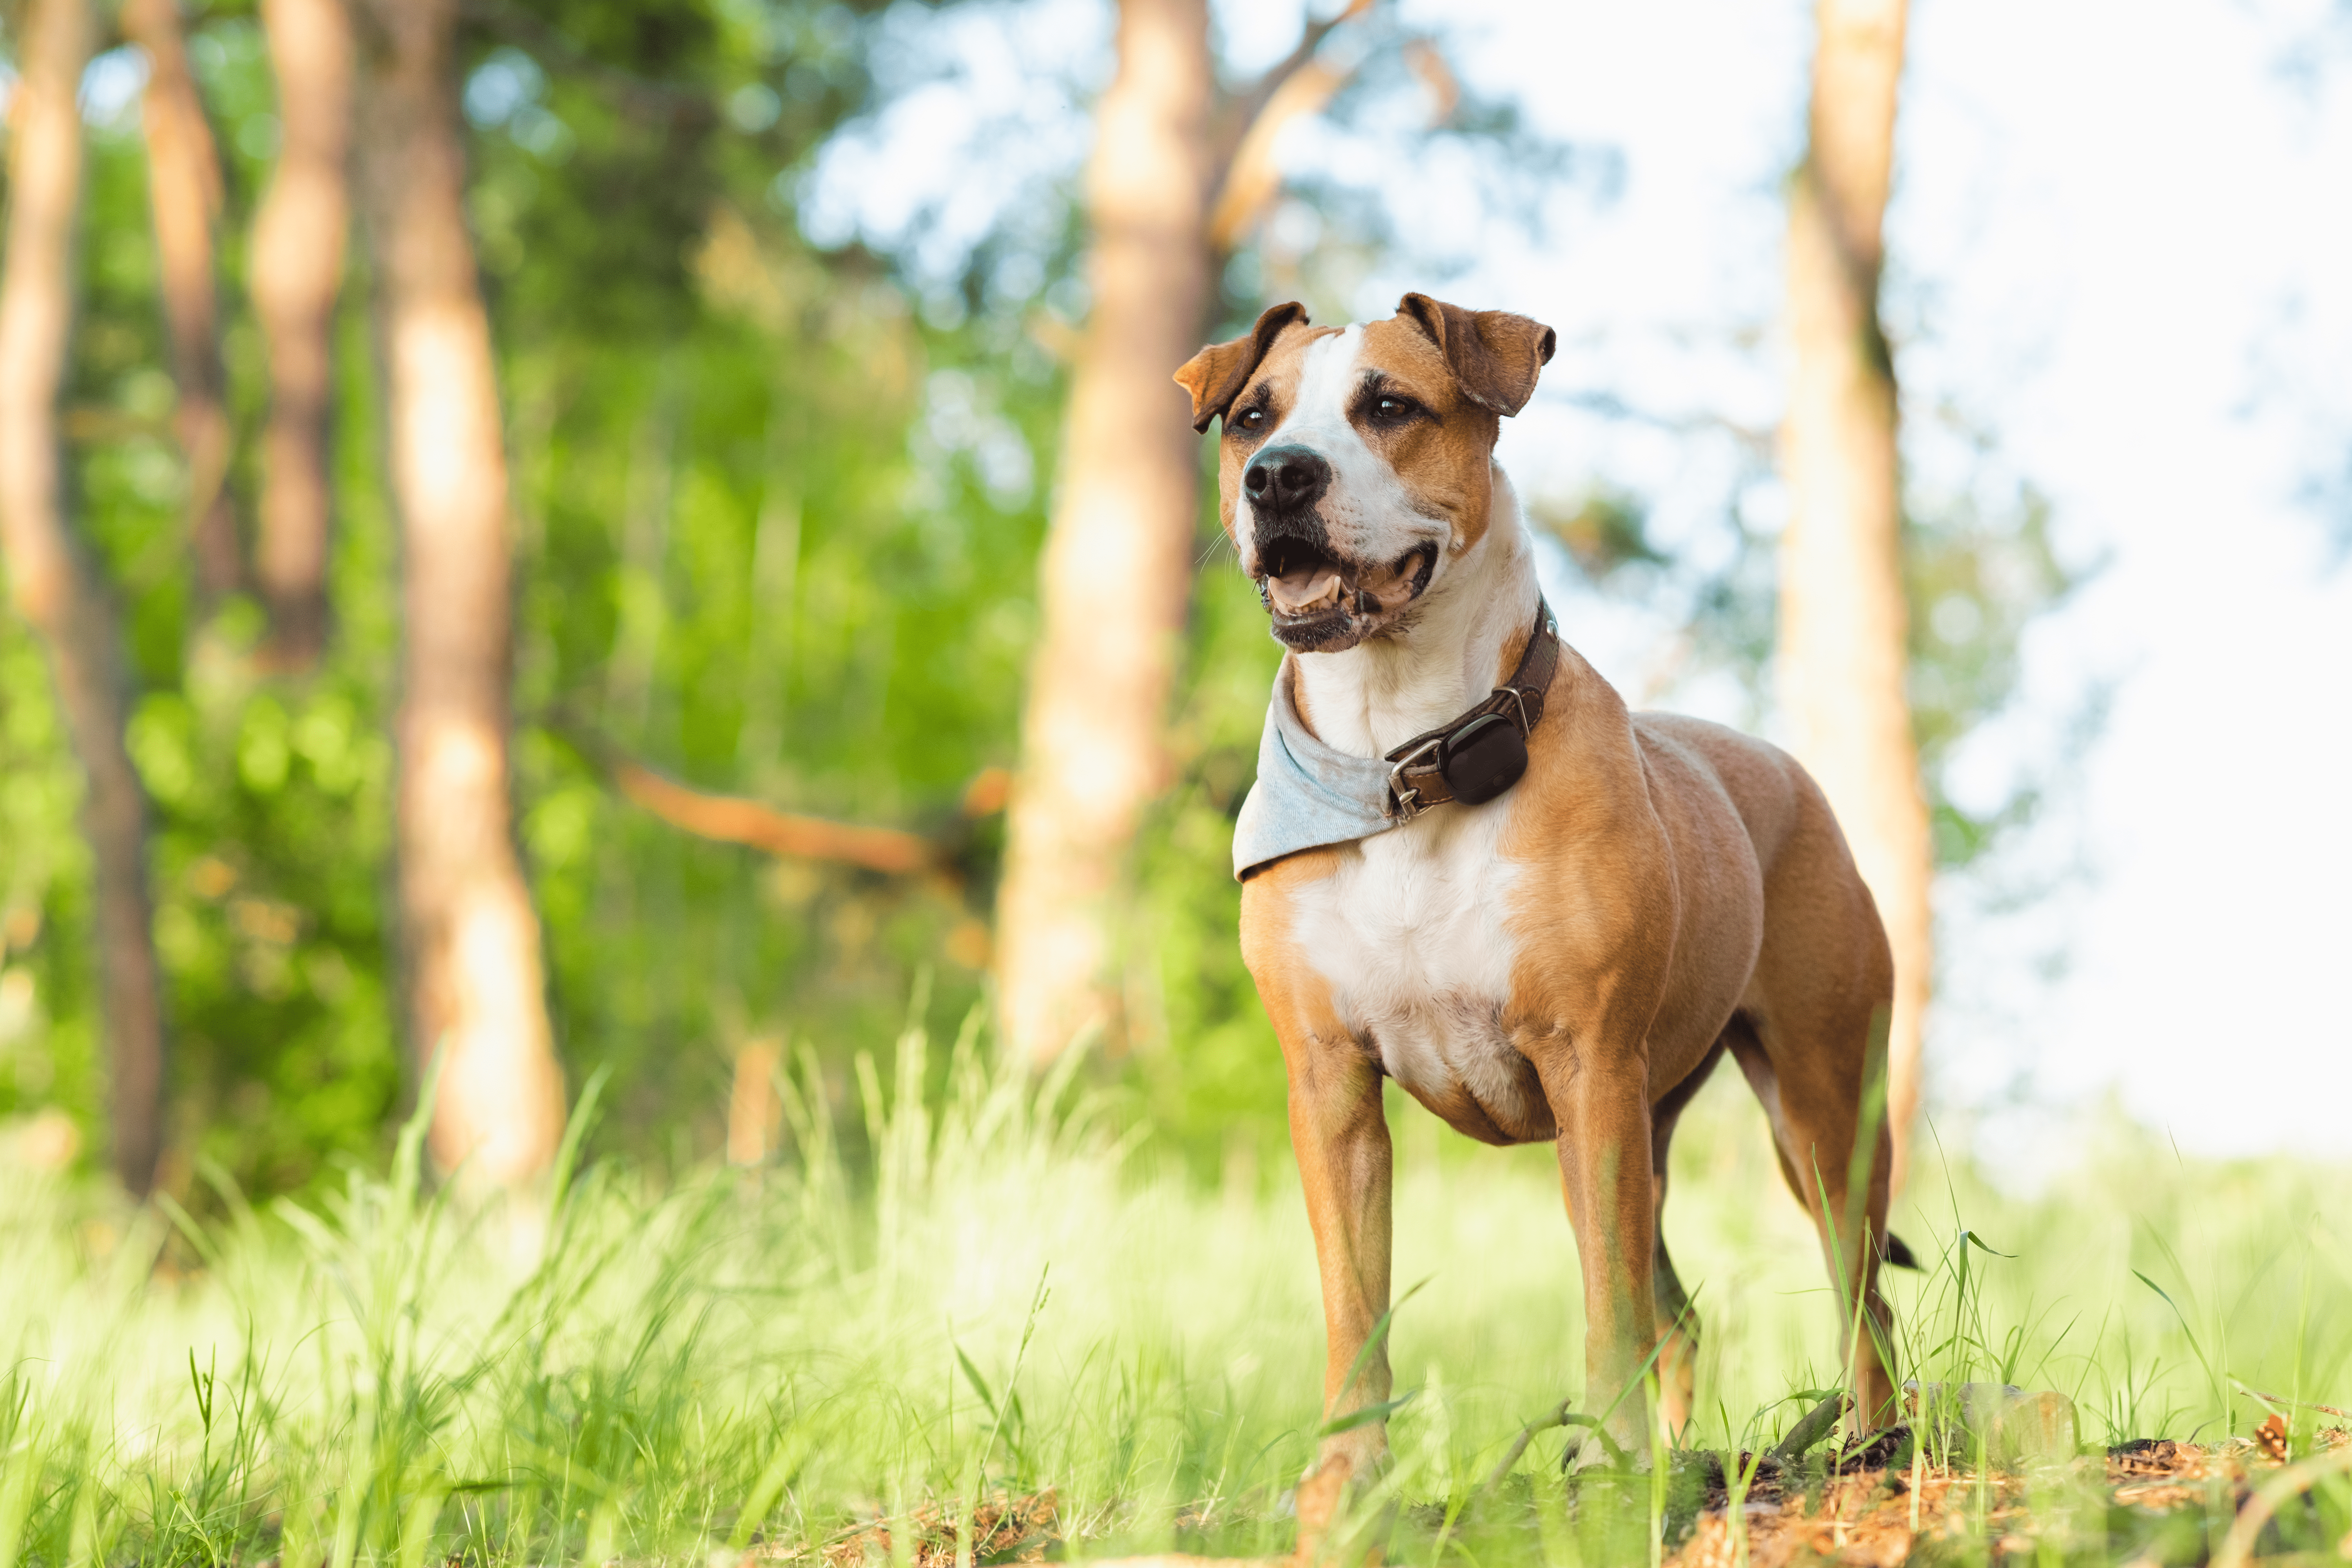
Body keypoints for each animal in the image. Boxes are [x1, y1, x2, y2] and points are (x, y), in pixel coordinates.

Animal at [1176, 294, 1910, 1504]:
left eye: (1390, 406)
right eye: (1250, 417)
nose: (1279, 478)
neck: (1403, 761)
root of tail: (1774, 761)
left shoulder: (1588, 1064)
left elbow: (1606, 1302)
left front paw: (1611, 1460)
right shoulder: (1331, 1086)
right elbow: (1356, 1305)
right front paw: (1349, 1476)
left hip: (1819, 1107)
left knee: (1860, 1295)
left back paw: (1874, 1447)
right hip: (1657, 1129)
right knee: (1686, 1315)